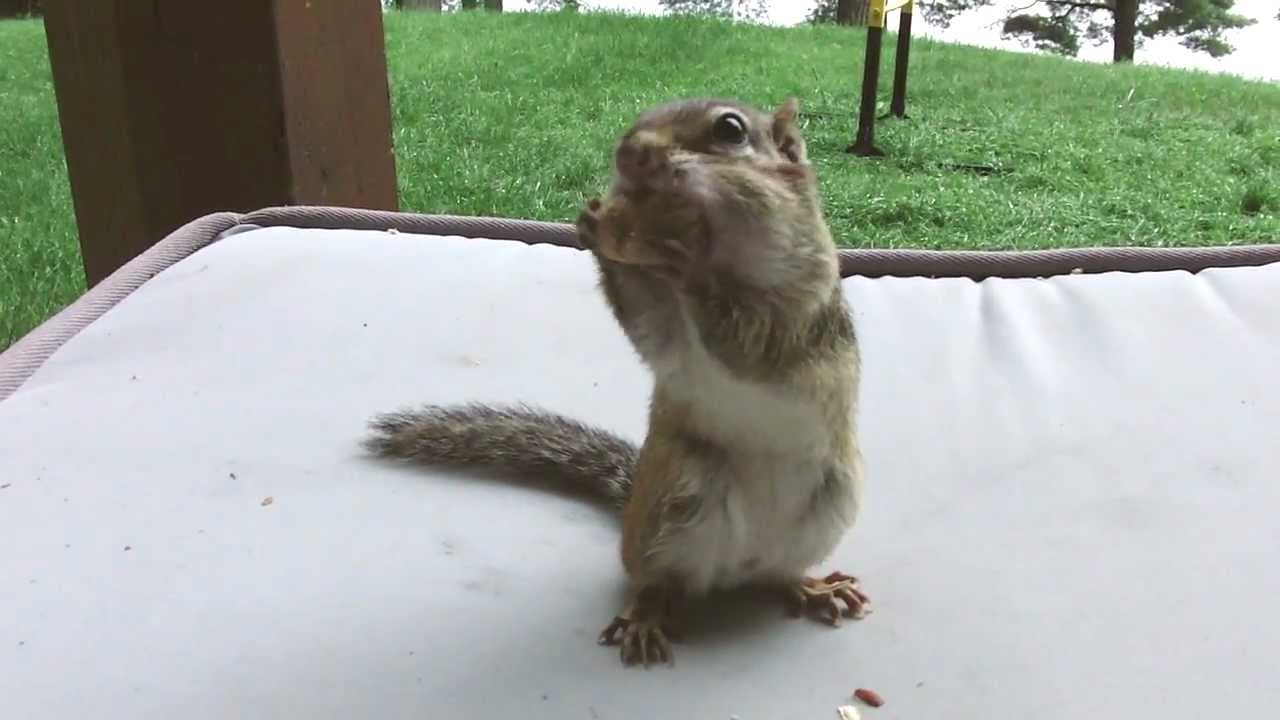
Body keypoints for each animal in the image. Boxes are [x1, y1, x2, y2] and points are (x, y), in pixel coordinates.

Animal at [362, 96, 869, 669]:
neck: (728, 261)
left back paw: (811, 587)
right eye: (645, 115)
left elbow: (749, 344)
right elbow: (652, 328)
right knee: (657, 582)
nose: (629, 154)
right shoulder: (667, 330)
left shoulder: (800, 310)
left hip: (826, 500)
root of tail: (735, 572)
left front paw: (684, 258)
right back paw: (648, 617)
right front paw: (594, 227)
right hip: (674, 501)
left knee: (776, 575)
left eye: (730, 130)